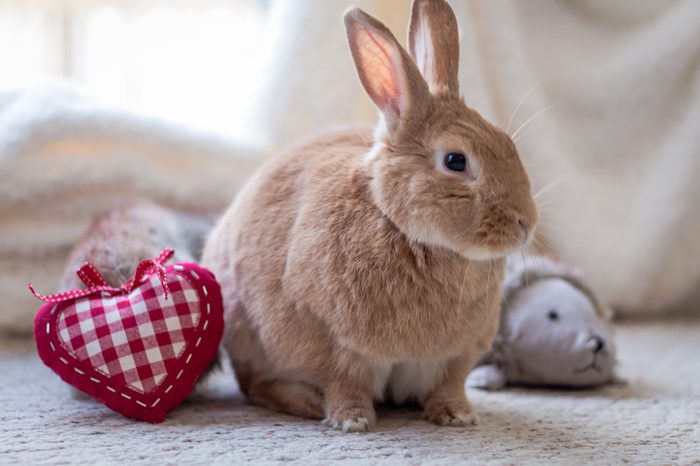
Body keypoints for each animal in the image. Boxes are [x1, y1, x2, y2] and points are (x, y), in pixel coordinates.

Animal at [200, 0, 540, 434]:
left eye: (507, 143)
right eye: (455, 160)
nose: (525, 224)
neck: (403, 228)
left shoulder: (455, 357)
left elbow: (449, 385)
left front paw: (457, 415)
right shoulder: (335, 347)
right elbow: (344, 384)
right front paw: (353, 421)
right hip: (248, 338)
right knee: (253, 385)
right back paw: (305, 402)